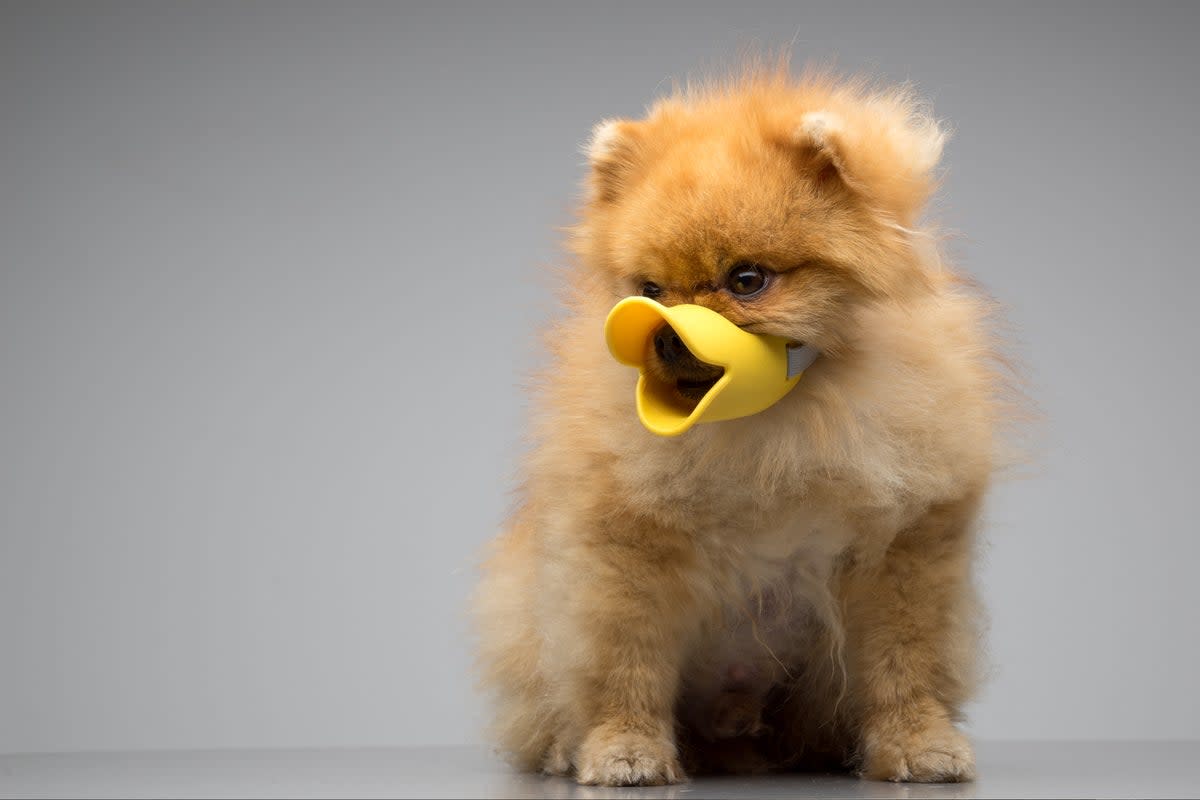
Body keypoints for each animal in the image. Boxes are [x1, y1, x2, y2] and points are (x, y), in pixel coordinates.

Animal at [472, 64, 1017, 786]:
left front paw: (919, 744)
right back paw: (570, 747)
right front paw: (625, 751)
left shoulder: (906, 546)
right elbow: (625, 667)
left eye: (747, 279)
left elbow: (904, 663)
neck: (773, 433)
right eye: (648, 289)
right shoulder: (622, 549)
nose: (666, 334)